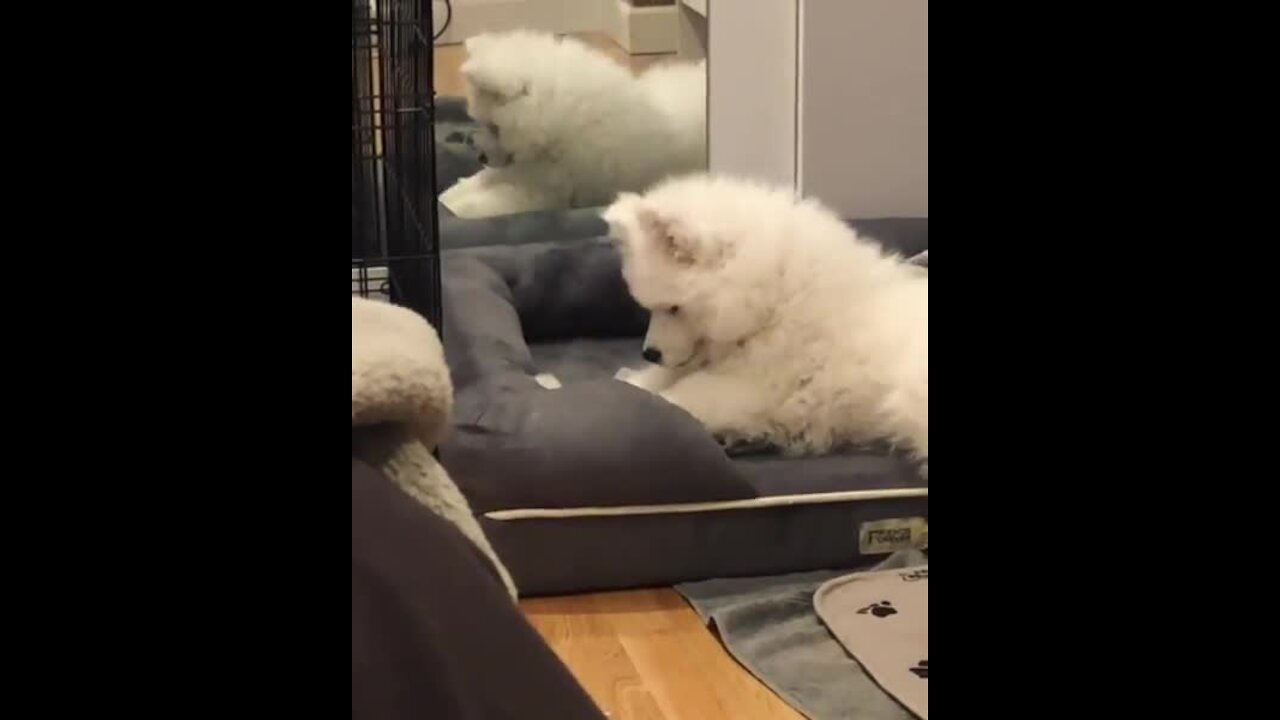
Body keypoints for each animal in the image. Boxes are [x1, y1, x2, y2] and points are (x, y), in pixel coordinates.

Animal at [437, 29, 701, 219]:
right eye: (481, 122)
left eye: (494, 127)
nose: (480, 156)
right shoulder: (520, 170)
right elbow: (477, 182)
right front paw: (450, 194)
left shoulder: (545, 192)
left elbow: (483, 204)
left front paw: (455, 209)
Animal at [599, 175, 931, 471]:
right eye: (651, 308)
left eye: (674, 308)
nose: (649, 353)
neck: (772, 304)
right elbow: (651, 382)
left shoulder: (752, 388)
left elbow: (677, 398)